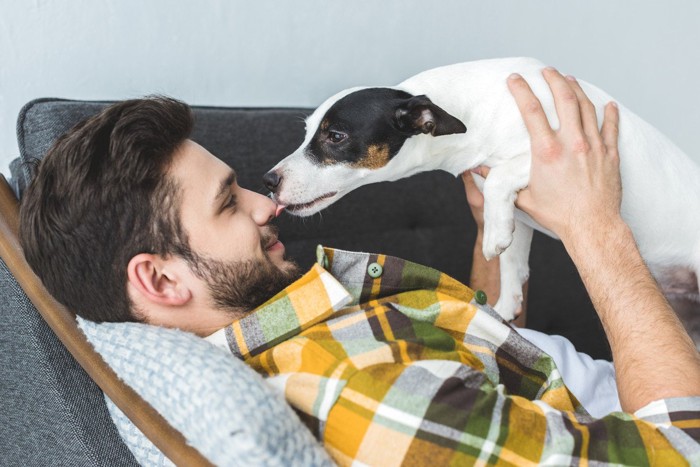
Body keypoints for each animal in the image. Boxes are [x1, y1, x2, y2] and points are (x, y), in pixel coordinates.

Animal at [264, 57, 700, 322]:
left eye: (335, 136)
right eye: (307, 132)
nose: (268, 181)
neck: (470, 111)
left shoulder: (551, 155)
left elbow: (500, 185)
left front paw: (494, 237)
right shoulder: (518, 207)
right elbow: (513, 260)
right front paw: (508, 301)